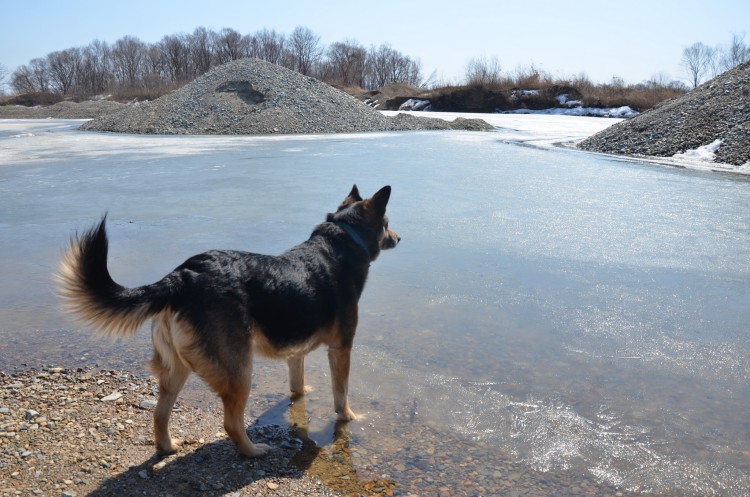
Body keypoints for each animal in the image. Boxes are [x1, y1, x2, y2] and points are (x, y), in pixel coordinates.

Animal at [57, 184, 400, 456]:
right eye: (387, 224)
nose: (400, 238)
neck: (342, 238)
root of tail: (182, 276)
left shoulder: (295, 351)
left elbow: (296, 386)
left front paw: (302, 396)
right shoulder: (341, 349)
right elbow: (341, 395)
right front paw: (350, 419)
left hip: (177, 368)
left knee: (159, 415)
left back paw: (168, 447)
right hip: (239, 370)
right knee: (231, 422)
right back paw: (253, 451)